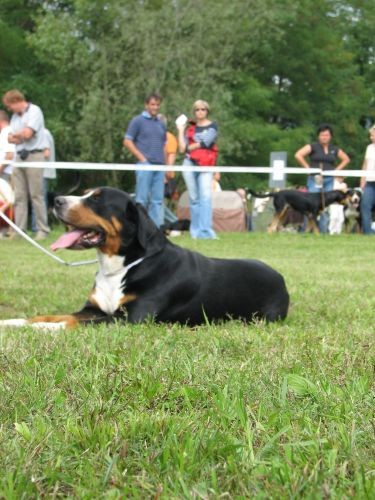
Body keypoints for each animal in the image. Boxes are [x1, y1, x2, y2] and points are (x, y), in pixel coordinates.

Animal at [0, 187, 290, 328]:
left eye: (96, 200)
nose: (57, 200)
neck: (119, 267)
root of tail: (280, 277)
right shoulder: (93, 309)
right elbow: (50, 315)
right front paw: (13, 322)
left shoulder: (131, 318)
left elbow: (66, 323)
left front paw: (40, 331)